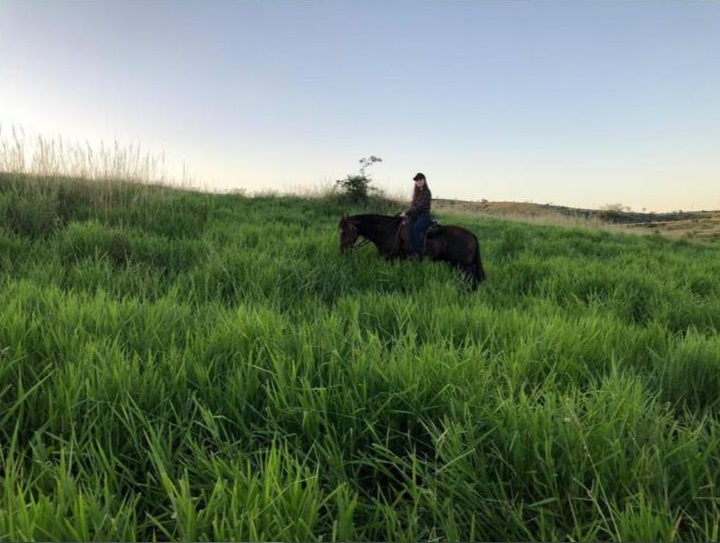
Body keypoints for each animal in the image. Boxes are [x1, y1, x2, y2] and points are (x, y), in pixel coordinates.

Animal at [338, 212, 486, 292]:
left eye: (344, 231)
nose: (343, 250)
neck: (387, 230)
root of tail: (471, 235)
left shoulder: (391, 259)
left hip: (464, 266)